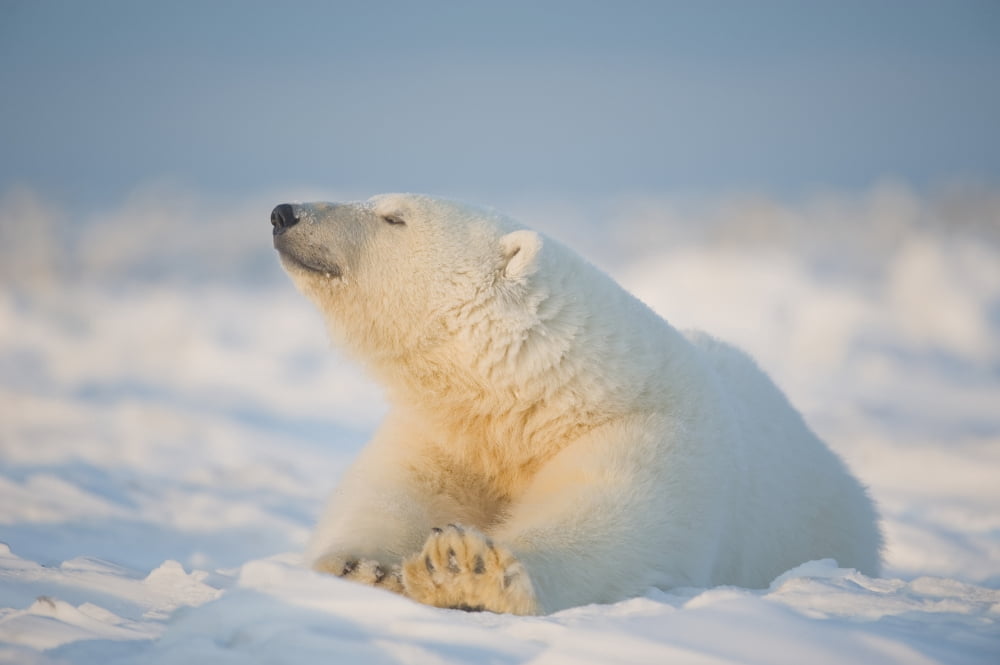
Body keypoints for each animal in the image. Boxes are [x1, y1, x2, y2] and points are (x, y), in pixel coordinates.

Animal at [270, 194, 883, 615]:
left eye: (392, 216)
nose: (284, 212)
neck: (543, 398)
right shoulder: (445, 433)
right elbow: (390, 492)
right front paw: (360, 567)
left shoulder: (650, 433)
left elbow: (609, 520)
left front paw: (464, 568)